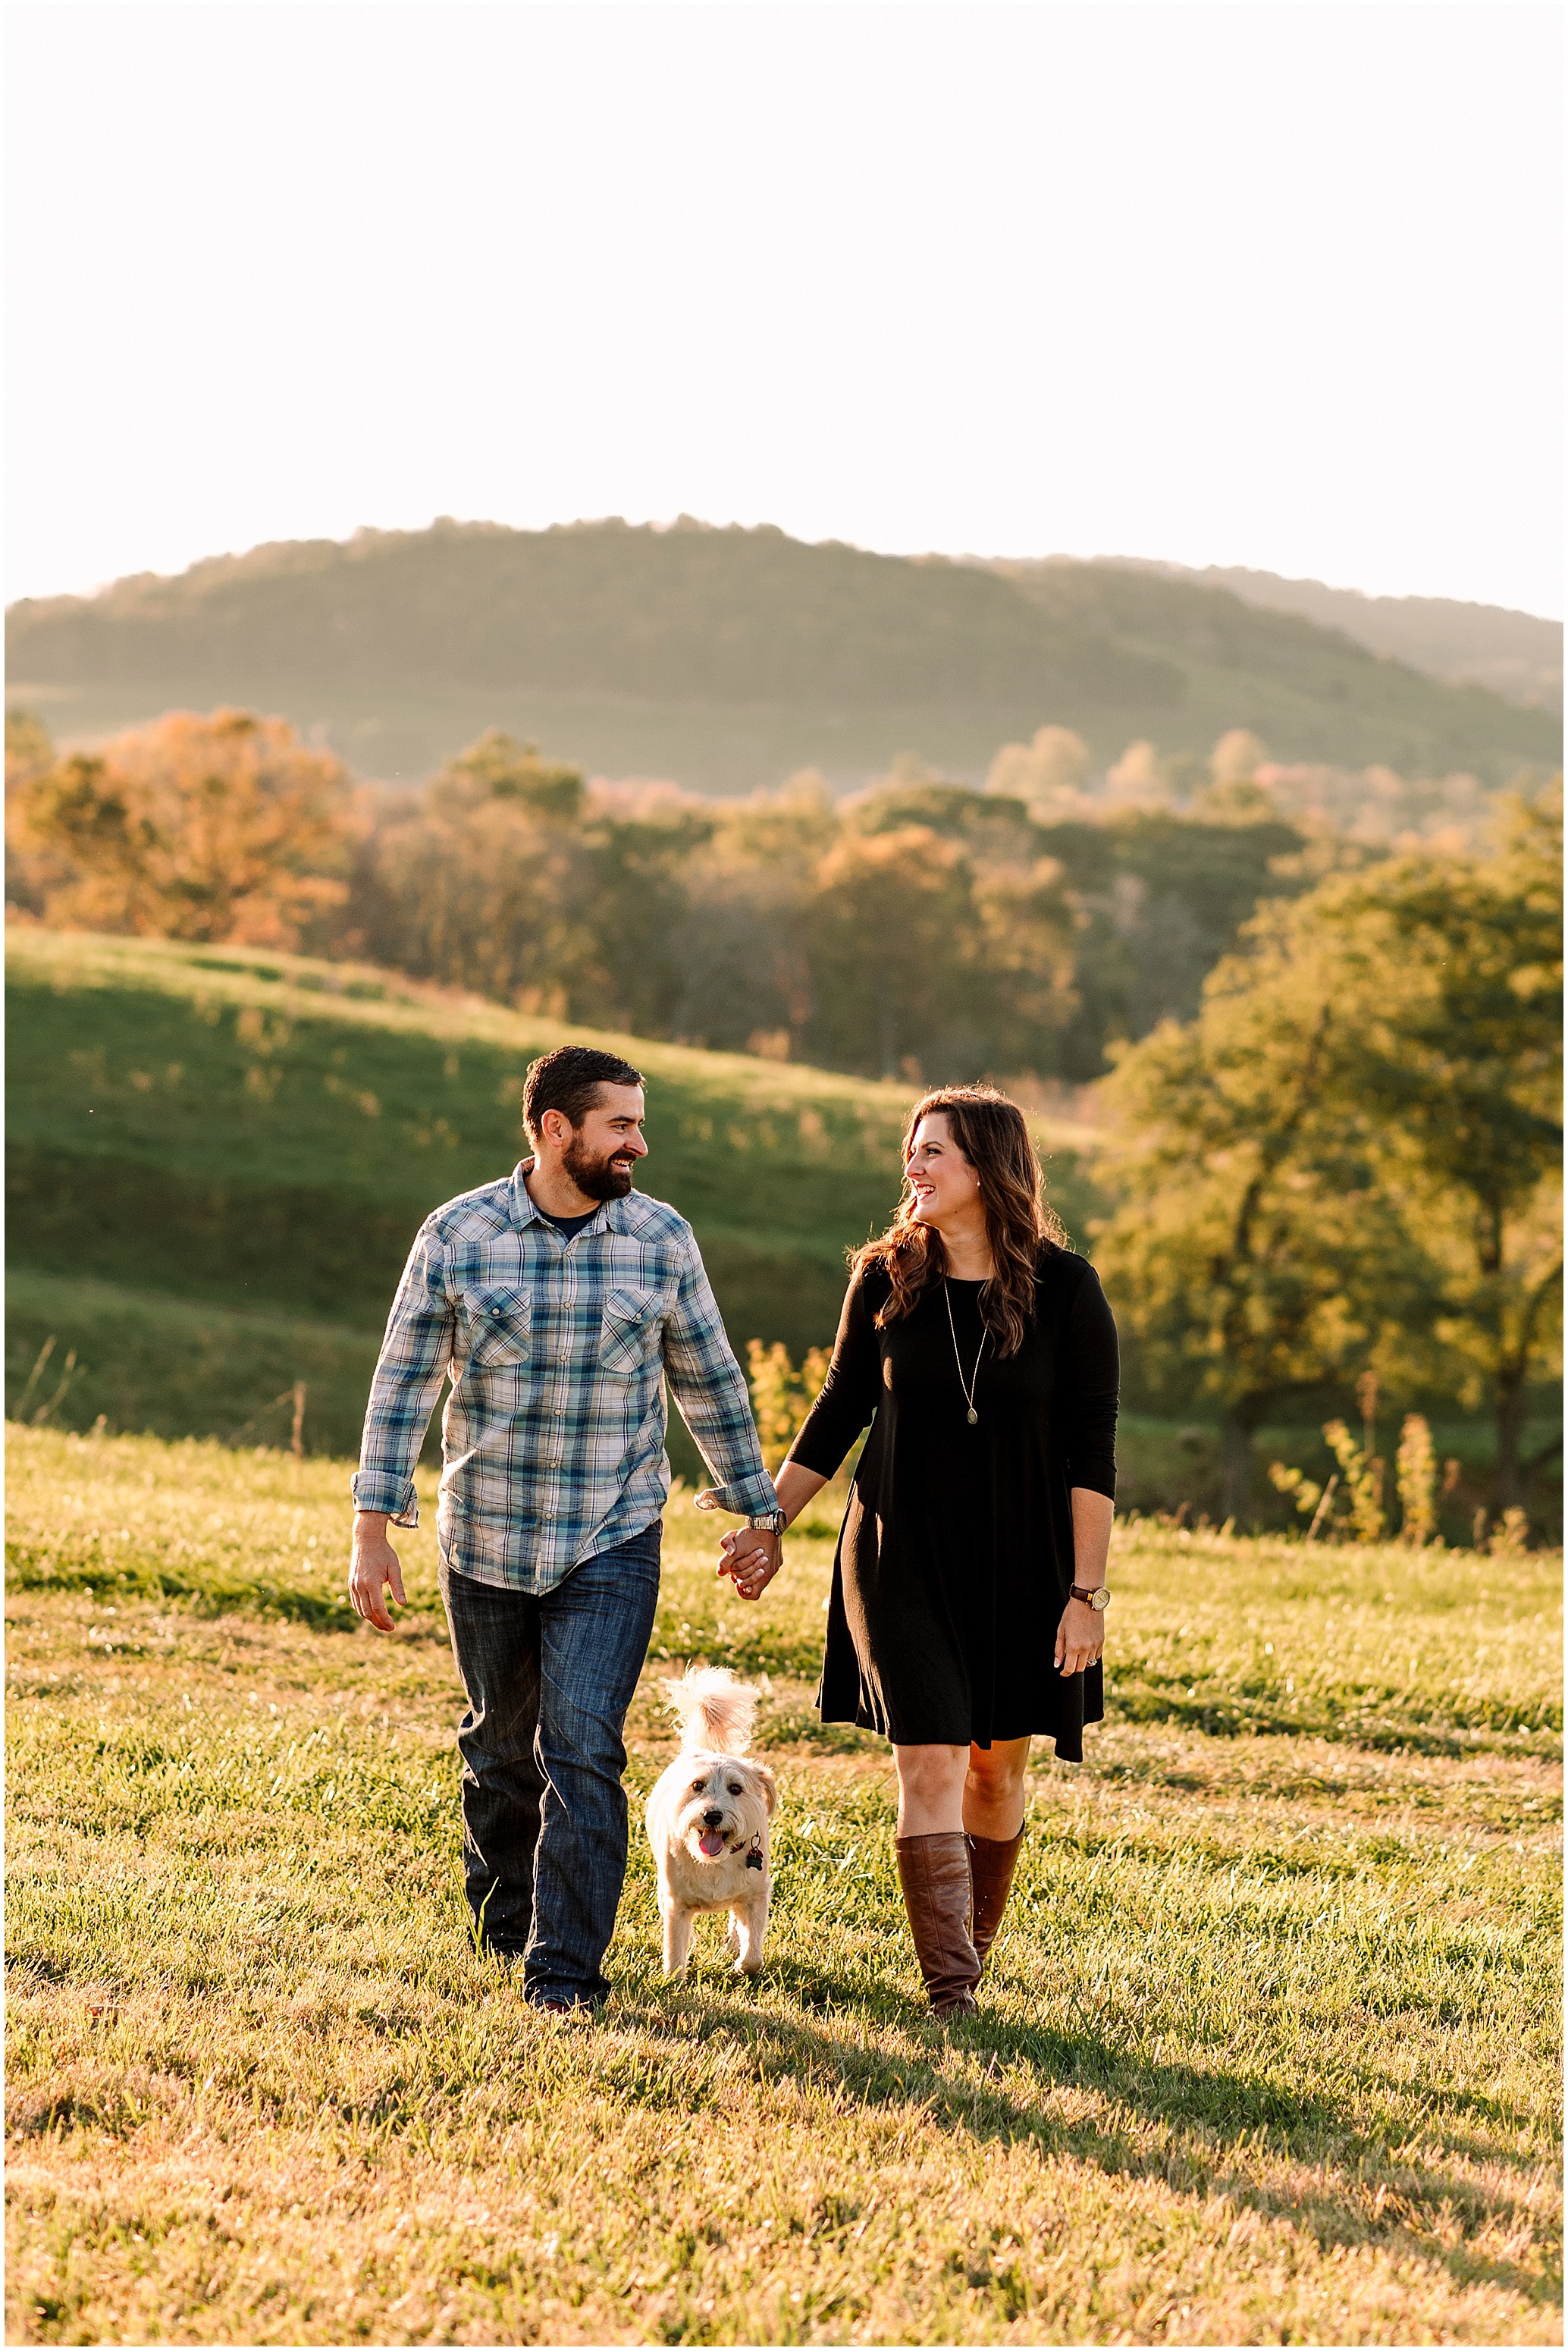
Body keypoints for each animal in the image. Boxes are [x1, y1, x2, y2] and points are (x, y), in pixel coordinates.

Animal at [644, 1664, 780, 1975]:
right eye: (697, 1785)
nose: (713, 1815)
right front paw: (673, 1978)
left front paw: (741, 1964)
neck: (716, 1862)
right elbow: (674, 1948)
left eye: (736, 1789)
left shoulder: (756, 1895)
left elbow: (753, 1952)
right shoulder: (674, 1902)